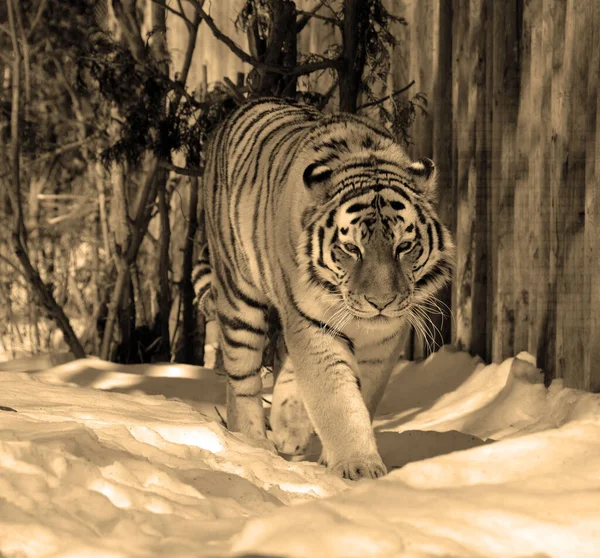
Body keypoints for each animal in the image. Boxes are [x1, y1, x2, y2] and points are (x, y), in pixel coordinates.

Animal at [197, 96, 454, 482]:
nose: (381, 302)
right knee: (242, 379)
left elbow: (360, 396)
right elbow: (337, 401)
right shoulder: (313, 325)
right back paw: (252, 442)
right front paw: (359, 466)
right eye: (351, 249)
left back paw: (289, 428)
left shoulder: (383, 341)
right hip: (239, 296)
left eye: (404, 246)